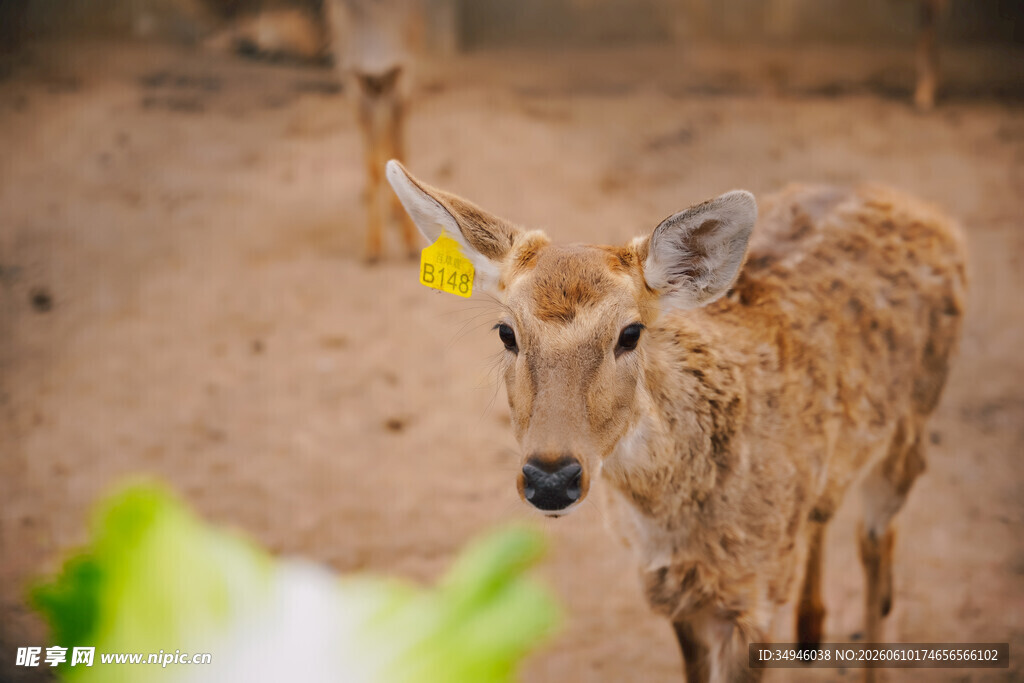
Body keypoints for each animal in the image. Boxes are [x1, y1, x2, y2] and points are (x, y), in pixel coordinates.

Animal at [386, 160, 967, 682]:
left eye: (630, 333)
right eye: (506, 332)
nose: (551, 477)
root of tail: (922, 207)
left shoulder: (754, 595)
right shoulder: (670, 586)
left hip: (915, 418)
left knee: (877, 546)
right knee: (826, 510)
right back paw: (811, 629)